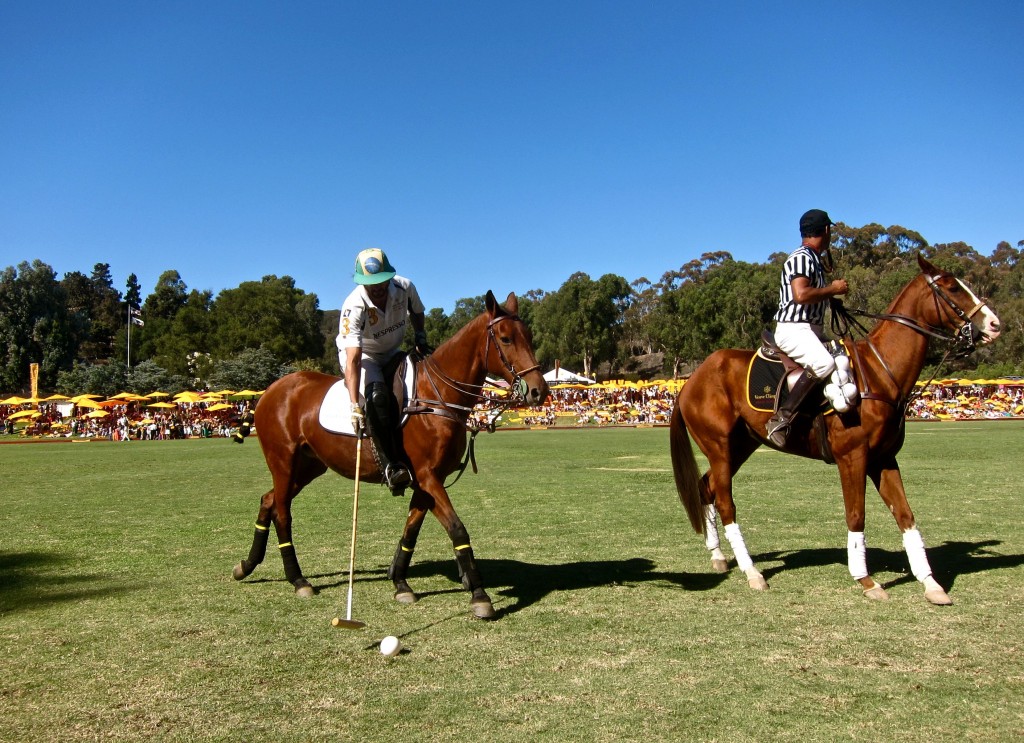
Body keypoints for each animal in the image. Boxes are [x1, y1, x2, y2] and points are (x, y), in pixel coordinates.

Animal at [234, 294, 552, 618]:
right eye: (505, 338)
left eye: (528, 336)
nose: (539, 391)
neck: (438, 396)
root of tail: (267, 392)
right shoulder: (427, 476)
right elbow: (457, 529)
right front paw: (479, 595)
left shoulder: (427, 480)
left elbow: (411, 529)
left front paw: (400, 582)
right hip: (283, 461)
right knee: (283, 512)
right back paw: (298, 579)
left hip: (309, 465)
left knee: (269, 500)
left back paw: (246, 566)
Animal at [671, 255, 999, 605]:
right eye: (952, 287)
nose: (994, 324)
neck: (880, 373)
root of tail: (689, 382)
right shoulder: (852, 456)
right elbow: (856, 515)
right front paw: (867, 581)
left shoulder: (884, 458)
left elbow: (905, 516)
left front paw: (931, 584)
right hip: (719, 445)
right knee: (725, 503)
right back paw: (752, 572)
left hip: (741, 445)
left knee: (707, 487)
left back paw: (718, 556)